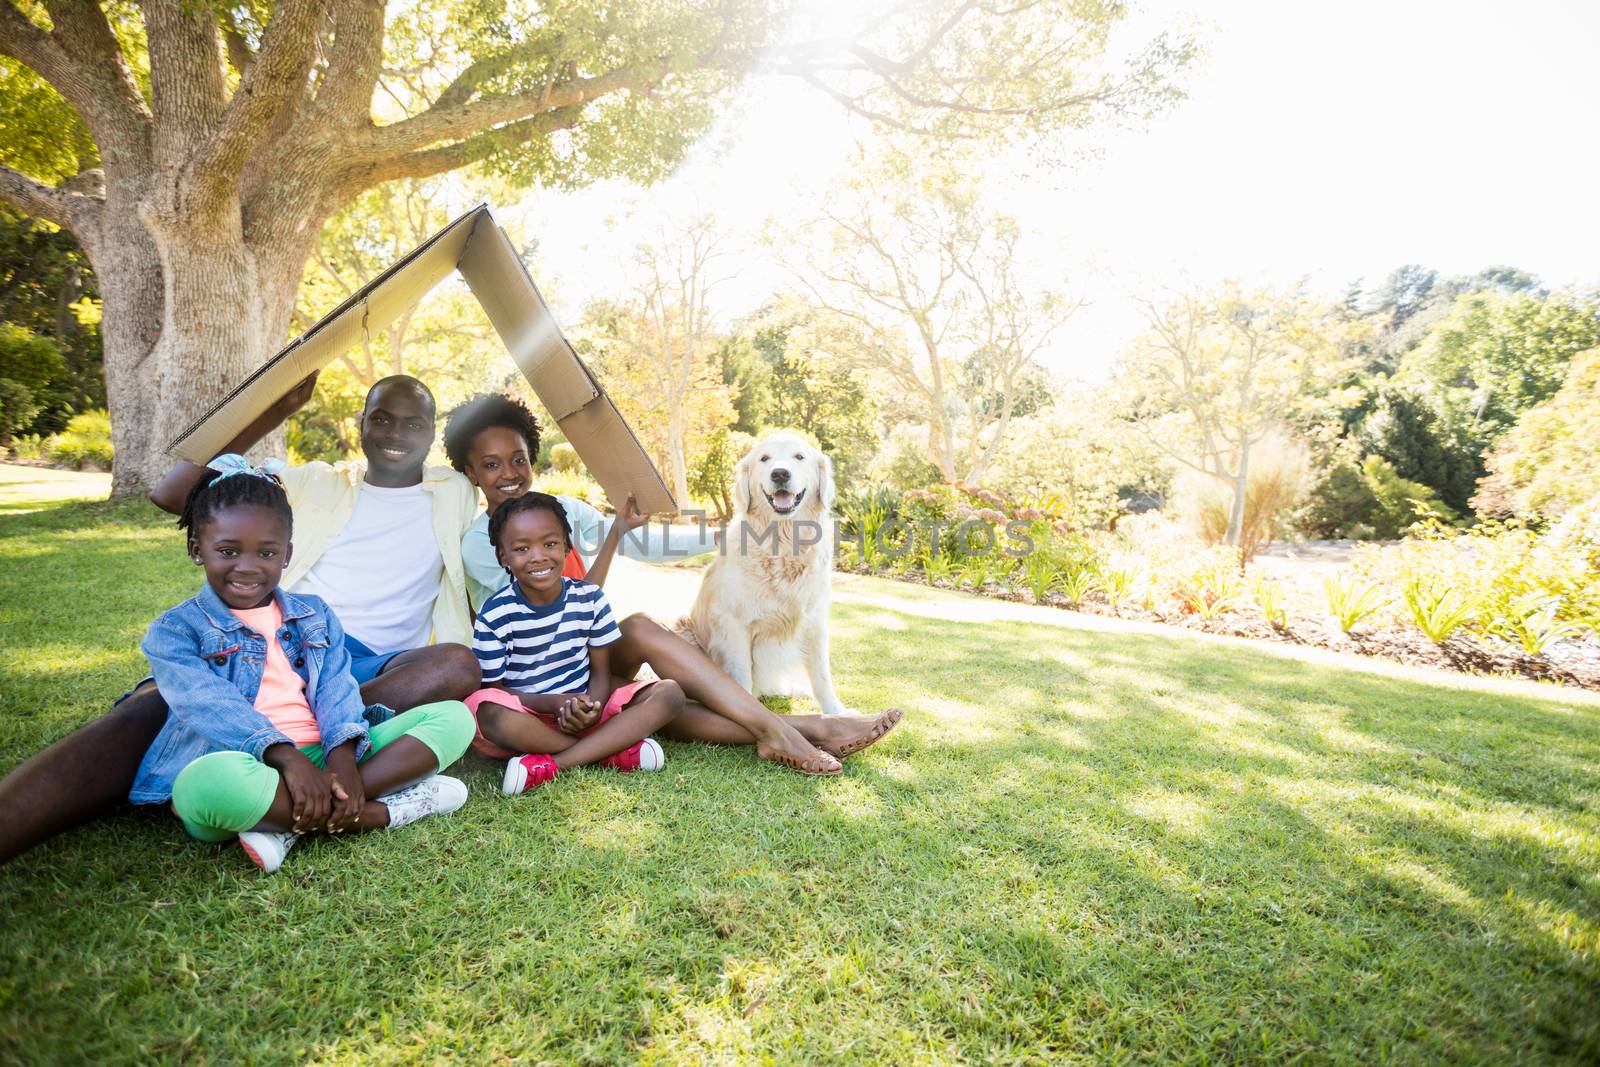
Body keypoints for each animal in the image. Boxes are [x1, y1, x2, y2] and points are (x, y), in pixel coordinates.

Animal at [694, 428, 857, 713]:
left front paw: (836, 713)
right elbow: (742, 677)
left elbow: (822, 675)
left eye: (799, 456)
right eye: (764, 458)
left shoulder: (815, 622)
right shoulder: (735, 624)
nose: (780, 473)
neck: (783, 544)